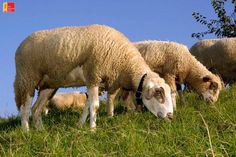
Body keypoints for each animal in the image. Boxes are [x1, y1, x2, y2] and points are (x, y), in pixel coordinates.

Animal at [14, 24, 173, 131]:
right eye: (158, 93)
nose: (171, 116)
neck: (124, 62)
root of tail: (21, 45)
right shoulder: (93, 76)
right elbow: (95, 106)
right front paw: (93, 129)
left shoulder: (96, 81)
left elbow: (88, 105)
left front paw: (80, 125)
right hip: (27, 77)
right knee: (25, 107)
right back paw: (26, 132)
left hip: (49, 85)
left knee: (36, 109)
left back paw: (40, 131)